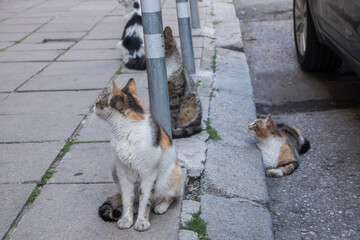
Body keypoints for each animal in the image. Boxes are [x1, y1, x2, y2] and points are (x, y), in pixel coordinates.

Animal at [95, 79, 183, 232]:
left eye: (100, 101)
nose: (94, 104)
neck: (125, 131)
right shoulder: (123, 173)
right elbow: (126, 199)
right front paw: (126, 219)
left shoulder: (149, 176)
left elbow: (146, 200)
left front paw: (142, 221)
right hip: (114, 170)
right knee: (132, 198)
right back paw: (136, 206)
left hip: (176, 174)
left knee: (169, 197)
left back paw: (161, 206)